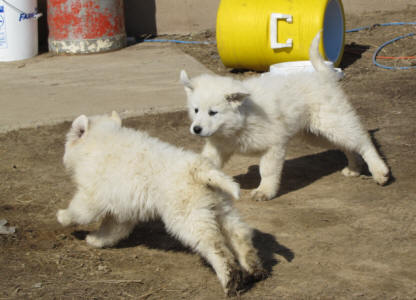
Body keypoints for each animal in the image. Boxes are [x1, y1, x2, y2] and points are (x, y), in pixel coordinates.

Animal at [57, 112, 264, 296]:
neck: (99, 141)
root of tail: (200, 169)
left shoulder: (92, 195)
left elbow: (80, 211)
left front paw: (63, 217)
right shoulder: (123, 208)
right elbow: (113, 228)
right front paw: (98, 240)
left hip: (189, 218)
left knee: (216, 249)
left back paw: (231, 281)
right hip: (221, 208)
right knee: (239, 234)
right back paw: (254, 269)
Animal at [181, 32, 390, 202]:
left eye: (213, 112)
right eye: (196, 110)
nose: (196, 129)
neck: (239, 121)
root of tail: (323, 76)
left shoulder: (273, 145)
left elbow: (267, 171)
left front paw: (264, 191)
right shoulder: (218, 146)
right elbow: (204, 163)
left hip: (332, 122)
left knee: (363, 141)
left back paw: (380, 171)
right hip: (316, 134)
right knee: (346, 146)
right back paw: (354, 168)